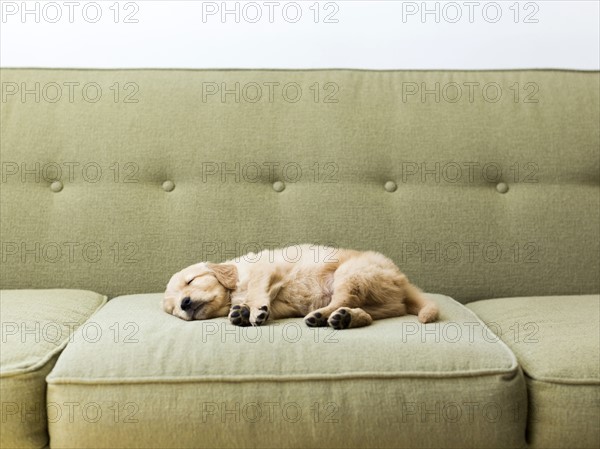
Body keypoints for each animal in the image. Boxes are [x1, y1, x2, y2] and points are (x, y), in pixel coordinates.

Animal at [162, 243, 438, 328]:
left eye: (191, 280)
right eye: (173, 309)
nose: (184, 303)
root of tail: (402, 279)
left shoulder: (266, 269)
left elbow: (256, 289)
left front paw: (252, 310)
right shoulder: (280, 304)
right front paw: (241, 311)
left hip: (350, 273)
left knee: (342, 299)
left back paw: (321, 316)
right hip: (377, 299)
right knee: (364, 312)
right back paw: (345, 318)